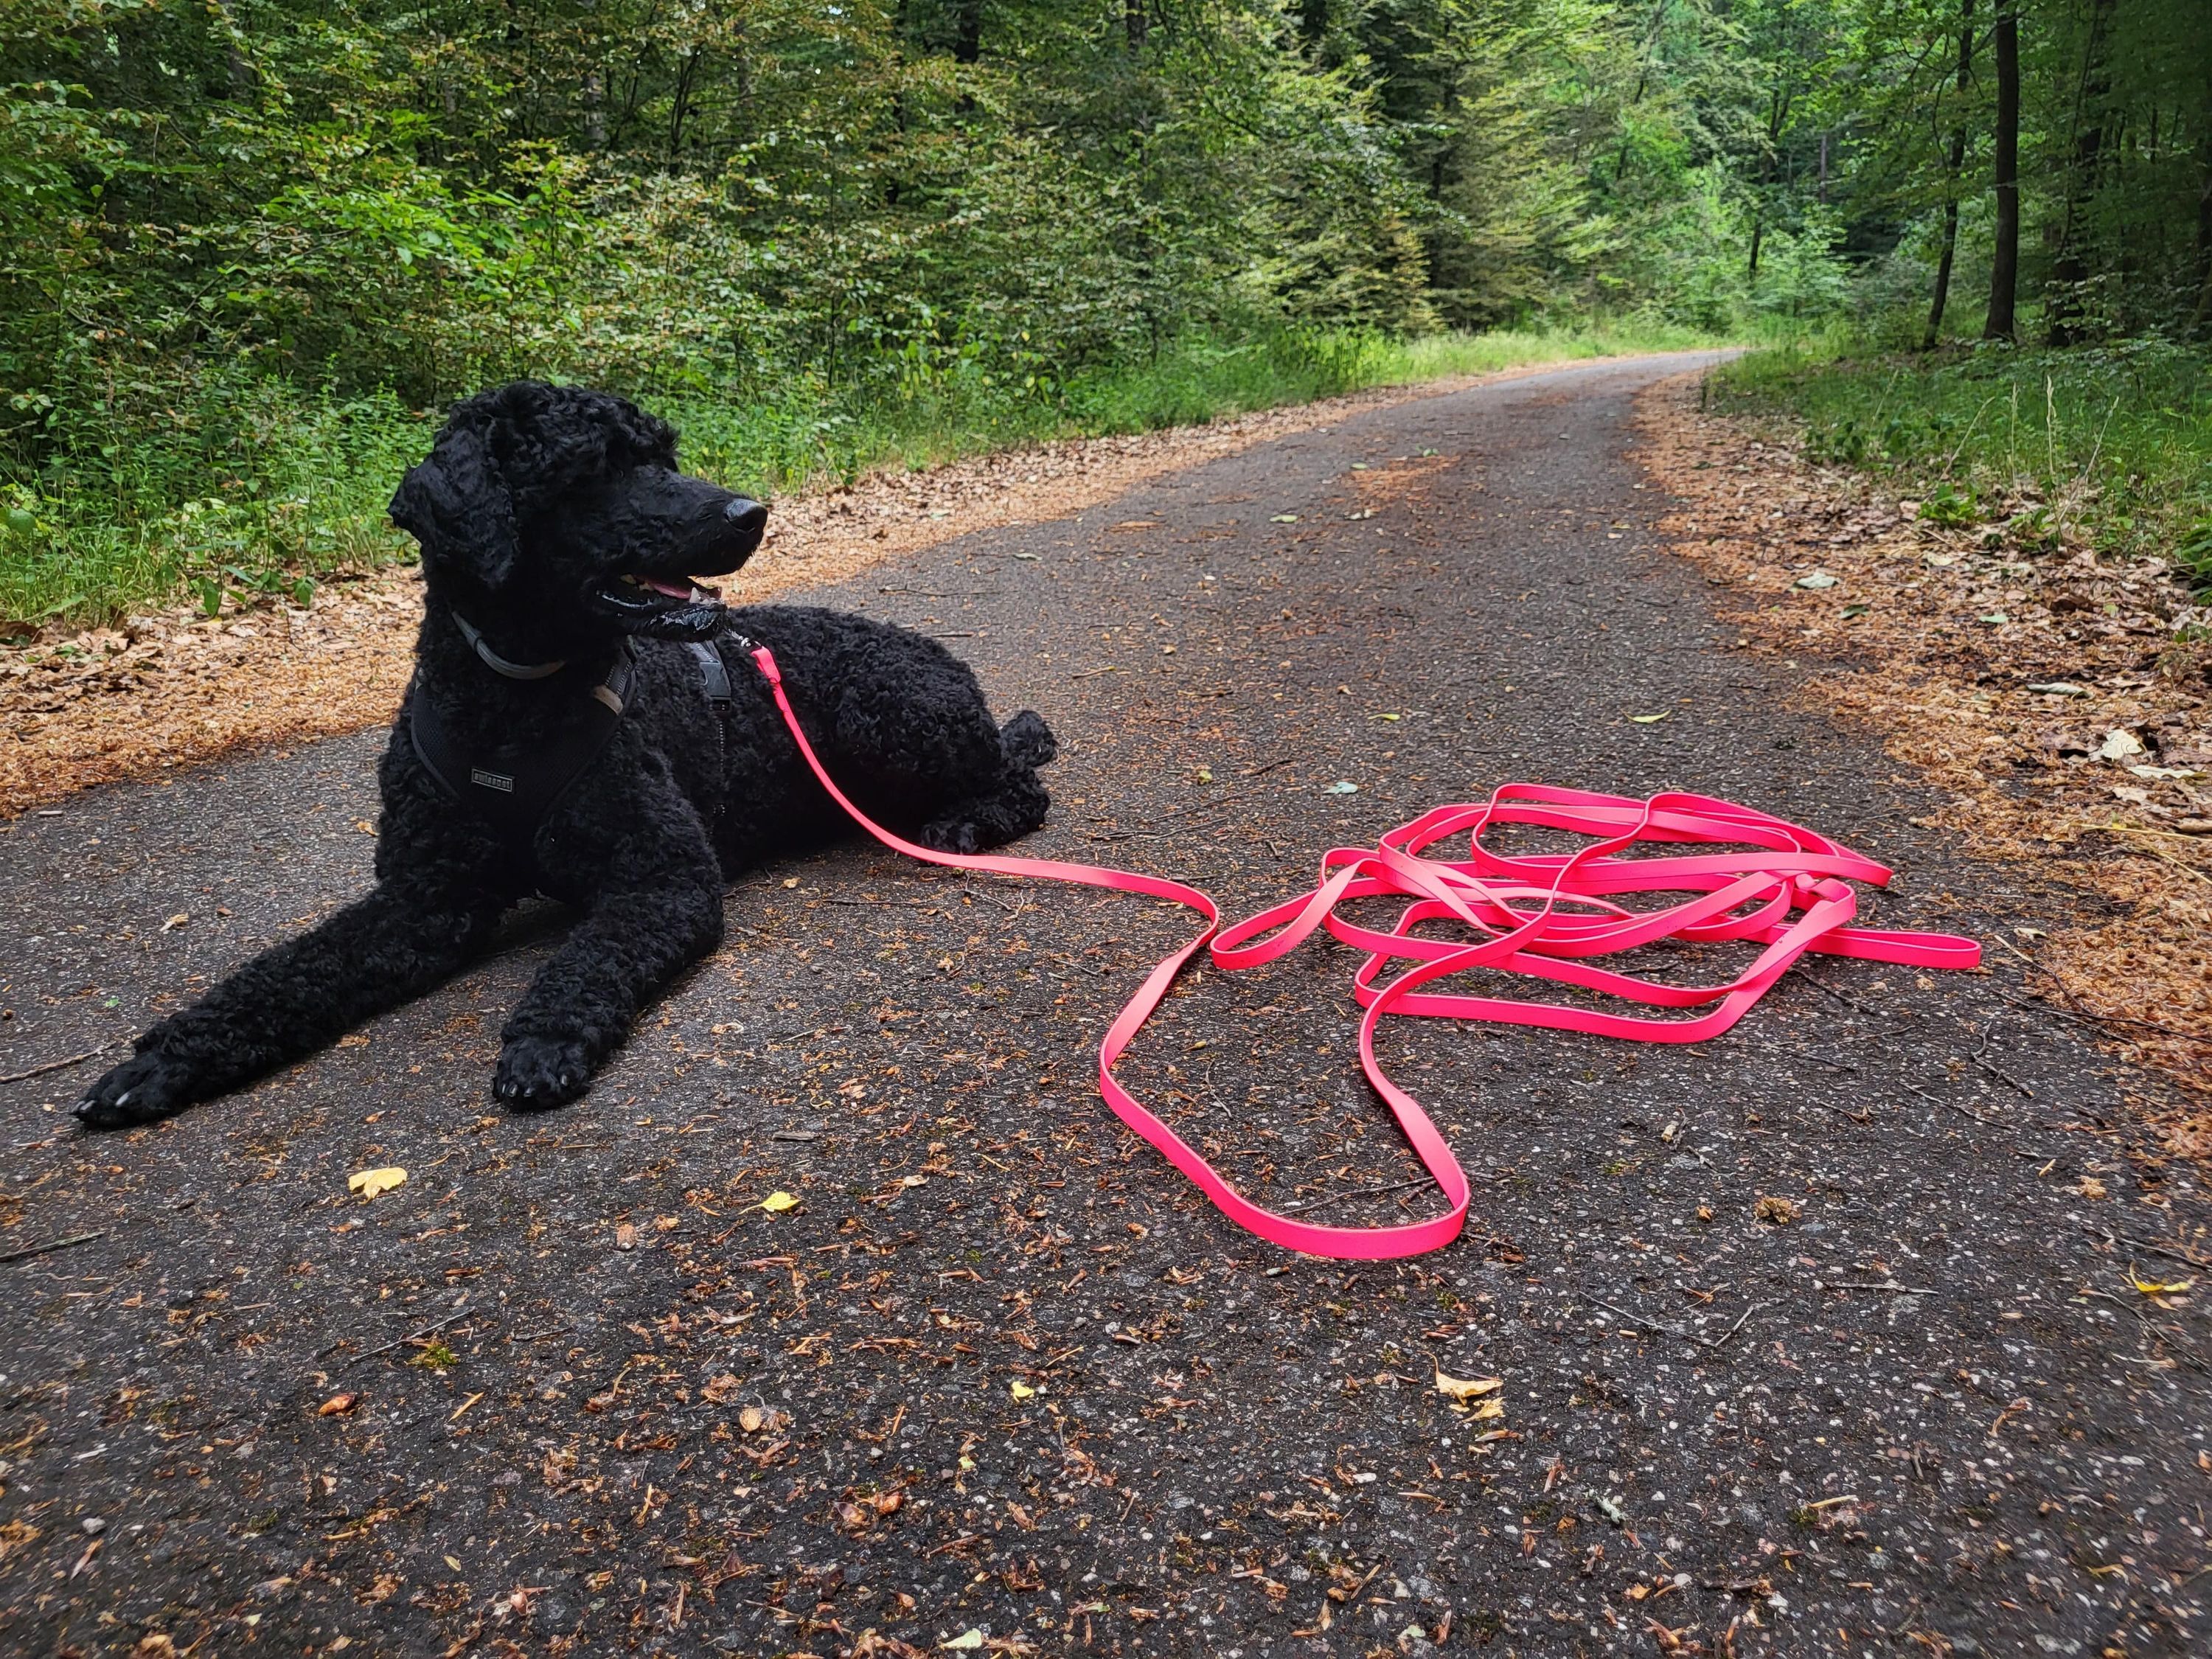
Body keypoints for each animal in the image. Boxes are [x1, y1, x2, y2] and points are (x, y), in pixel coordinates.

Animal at [76, 380, 1056, 1127]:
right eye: (593, 472)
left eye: (662, 454)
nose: (753, 513)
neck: (513, 706)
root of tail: (941, 659)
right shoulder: (423, 902)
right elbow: (285, 971)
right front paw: (165, 1060)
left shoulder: (660, 877)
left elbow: (586, 961)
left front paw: (543, 1038)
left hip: (892, 722)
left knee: (1020, 779)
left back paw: (968, 821)